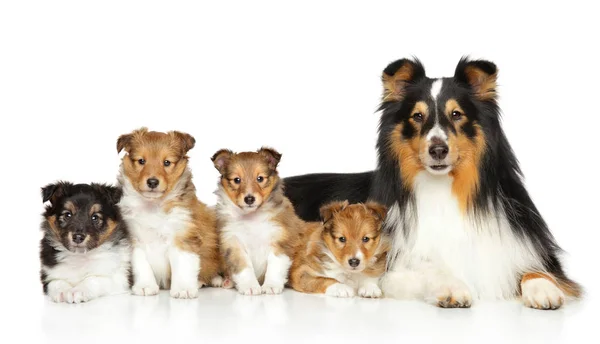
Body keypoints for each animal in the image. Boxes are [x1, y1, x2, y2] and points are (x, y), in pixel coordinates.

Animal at [116, 127, 225, 298]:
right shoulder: (135, 239)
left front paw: (183, 289)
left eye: (167, 162)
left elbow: (183, 266)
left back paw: (214, 280)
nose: (152, 182)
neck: (153, 206)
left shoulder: (183, 237)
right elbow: (141, 265)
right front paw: (145, 286)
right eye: (141, 161)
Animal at [212, 146, 304, 294]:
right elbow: (244, 267)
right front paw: (250, 286)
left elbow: (275, 266)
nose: (249, 199)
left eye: (260, 178)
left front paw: (271, 286)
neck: (251, 216)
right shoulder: (233, 243)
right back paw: (223, 280)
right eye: (237, 180)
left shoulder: (280, 241)